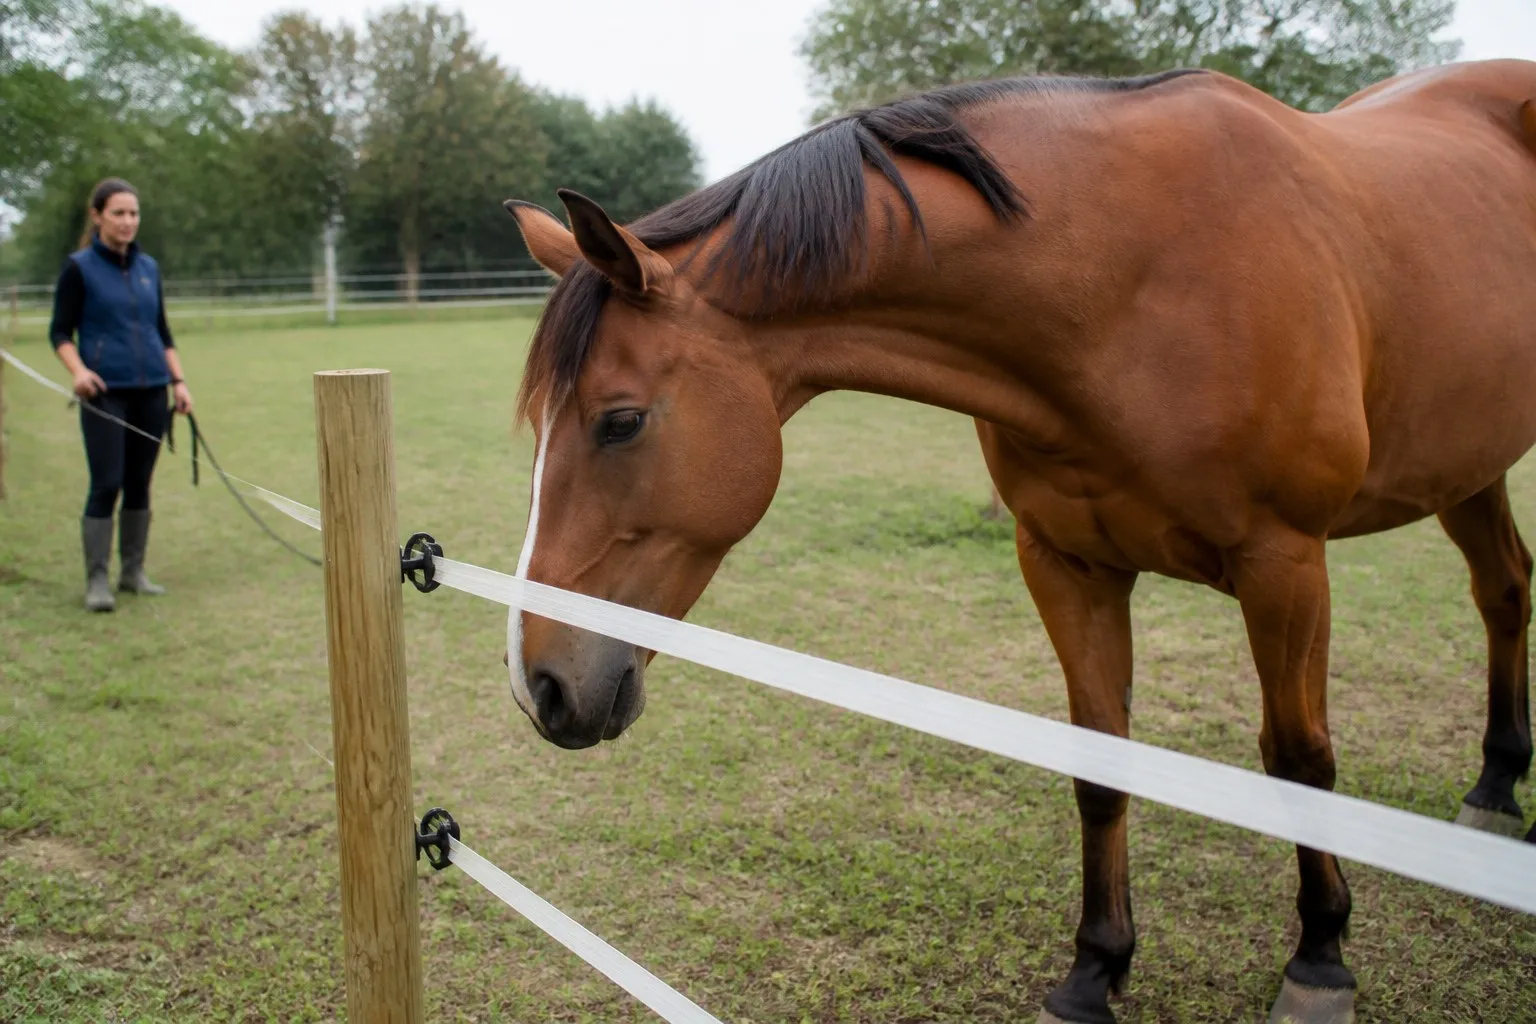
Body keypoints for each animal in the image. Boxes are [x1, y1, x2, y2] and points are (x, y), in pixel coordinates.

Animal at [500, 60, 1536, 1024]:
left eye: (621, 422)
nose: (539, 684)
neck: (1124, 282)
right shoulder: (1067, 562)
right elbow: (1099, 763)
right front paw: (1093, 973)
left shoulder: (1285, 562)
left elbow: (1301, 759)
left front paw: (1319, 962)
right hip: (1468, 468)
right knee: (1505, 591)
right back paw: (1495, 788)